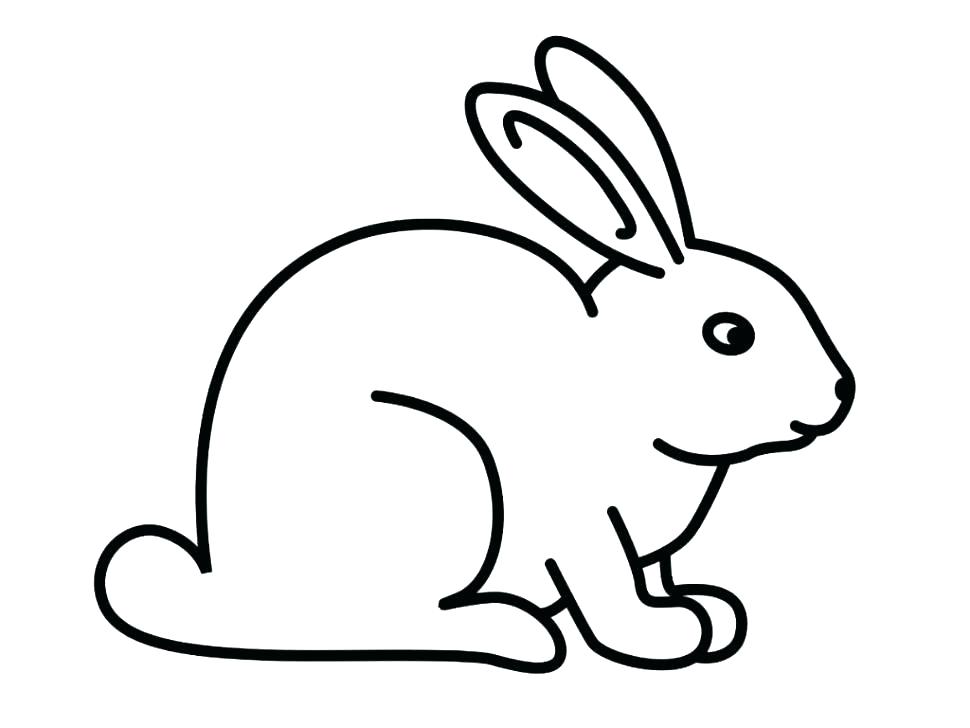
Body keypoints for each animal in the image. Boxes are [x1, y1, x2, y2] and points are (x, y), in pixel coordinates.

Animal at [94, 36, 854, 672]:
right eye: (730, 334)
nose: (840, 394)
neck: (619, 385)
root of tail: (235, 585)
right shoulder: (579, 527)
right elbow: (606, 590)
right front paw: (662, 636)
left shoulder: (647, 548)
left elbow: (655, 575)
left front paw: (708, 613)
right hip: (439, 470)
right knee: (386, 621)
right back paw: (514, 633)